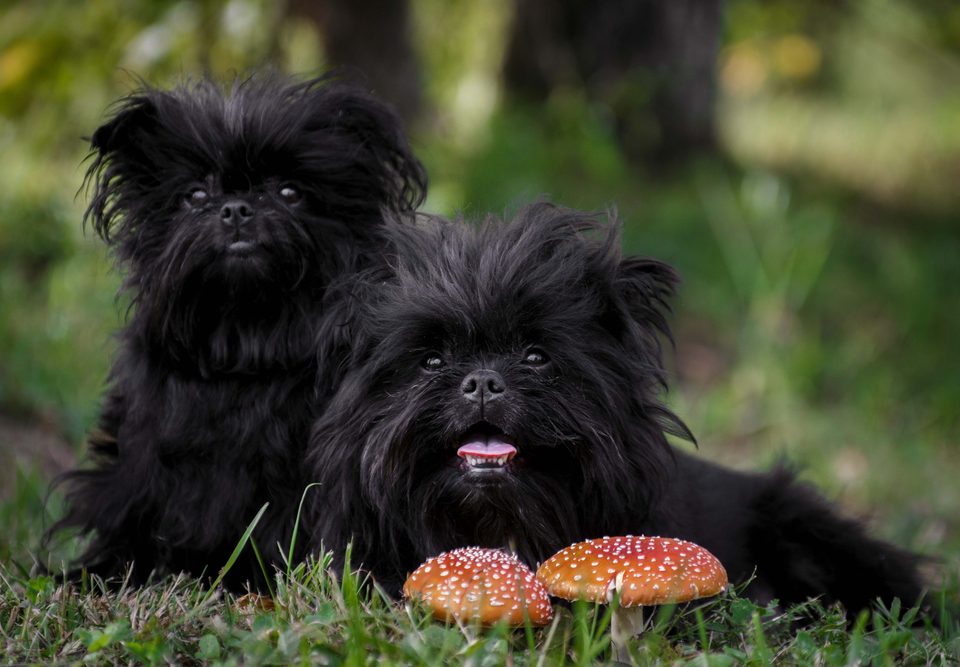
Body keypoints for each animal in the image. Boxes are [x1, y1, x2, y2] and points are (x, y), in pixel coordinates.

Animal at [46, 73, 428, 588]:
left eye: (289, 193)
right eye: (195, 196)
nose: (236, 209)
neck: (246, 341)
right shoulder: (141, 458)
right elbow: (129, 508)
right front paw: (102, 573)